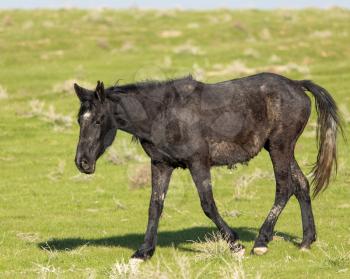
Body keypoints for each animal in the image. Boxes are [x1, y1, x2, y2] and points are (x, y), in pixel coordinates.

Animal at [73, 72, 342, 260]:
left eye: (98, 120)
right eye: (79, 120)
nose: (82, 162)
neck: (164, 114)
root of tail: (297, 84)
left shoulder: (198, 163)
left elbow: (208, 205)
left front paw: (234, 244)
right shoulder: (161, 164)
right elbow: (155, 206)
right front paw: (143, 252)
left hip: (280, 147)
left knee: (284, 188)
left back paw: (261, 242)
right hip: (280, 148)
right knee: (301, 185)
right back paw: (306, 241)